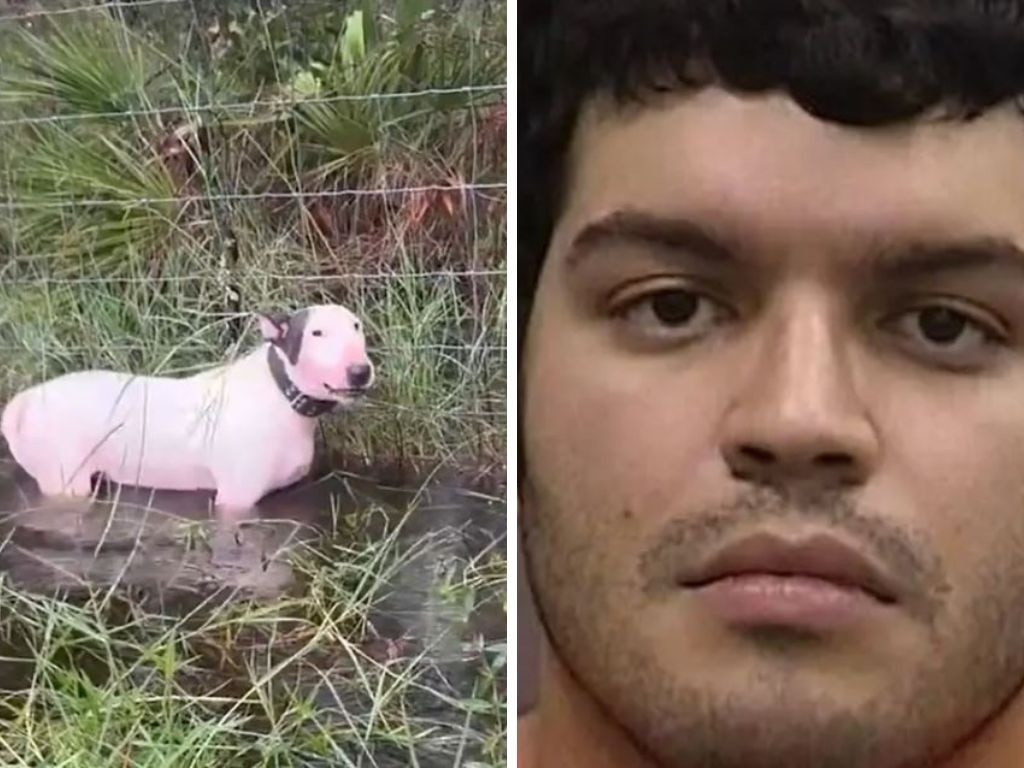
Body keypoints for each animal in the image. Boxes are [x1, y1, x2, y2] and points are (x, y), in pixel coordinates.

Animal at [0, 303, 376, 520]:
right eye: (316, 332)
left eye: (357, 326)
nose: (360, 371)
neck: (281, 395)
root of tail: (22, 402)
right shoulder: (236, 498)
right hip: (64, 477)